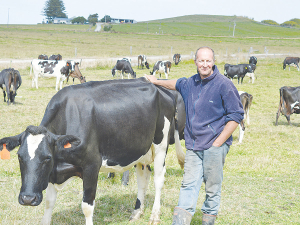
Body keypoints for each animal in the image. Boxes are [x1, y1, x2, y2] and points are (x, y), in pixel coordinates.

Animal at [0, 77, 185, 225]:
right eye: (19, 157)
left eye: (47, 157)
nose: (28, 198)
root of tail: (161, 89)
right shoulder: (53, 173)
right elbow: (49, 203)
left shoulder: (91, 166)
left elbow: (87, 207)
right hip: (140, 150)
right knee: (143, 178)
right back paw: (136, 212)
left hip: (160, 146)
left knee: (158, 179)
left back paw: (154, 216)